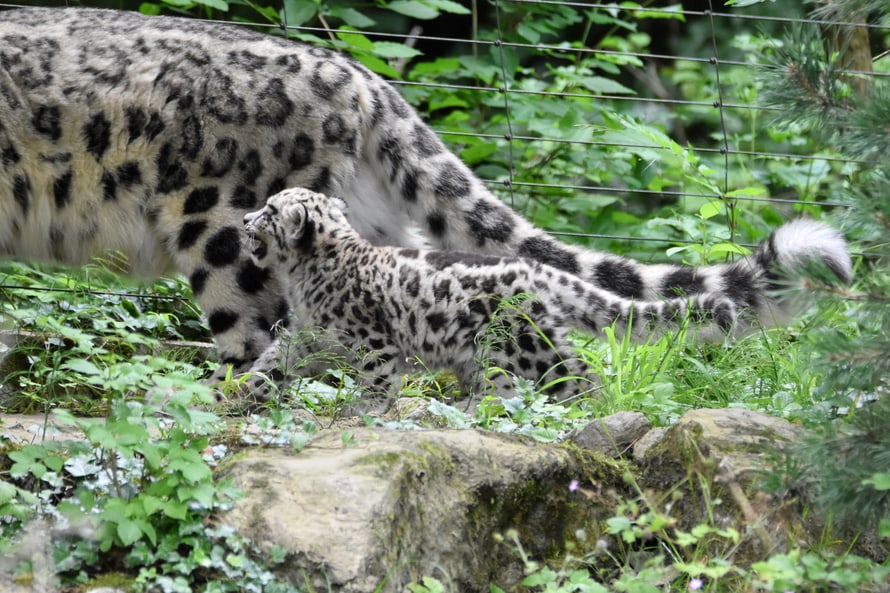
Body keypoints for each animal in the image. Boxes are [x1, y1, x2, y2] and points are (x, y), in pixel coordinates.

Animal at [243, 187, 744, 400]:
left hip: (524, 347)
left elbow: (376, 385)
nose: (244, 219)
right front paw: (247, 388)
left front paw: (366, 414)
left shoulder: (375, 345)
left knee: (577, 376)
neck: (300, 278)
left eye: (269, 209)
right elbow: (275, 358)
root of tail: (536, 270)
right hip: (493, 355)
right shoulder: (309, 335)